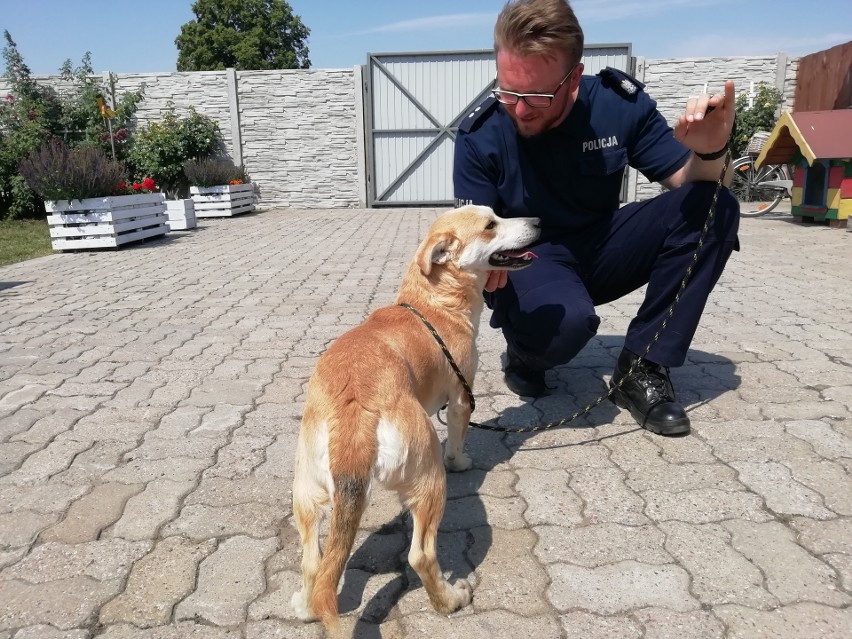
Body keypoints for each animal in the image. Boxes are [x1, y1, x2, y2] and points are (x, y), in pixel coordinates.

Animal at [290, 204, 536, 632]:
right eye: (491, 225)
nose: (538, 222)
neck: (434, 301)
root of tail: (353, 416)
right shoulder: (461, 397)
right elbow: (459, 437)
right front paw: (462, 460)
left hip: (306, 492)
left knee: (314, 563)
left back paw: (306, 606)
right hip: (429, 478)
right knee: (421, 555)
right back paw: (450, 600)